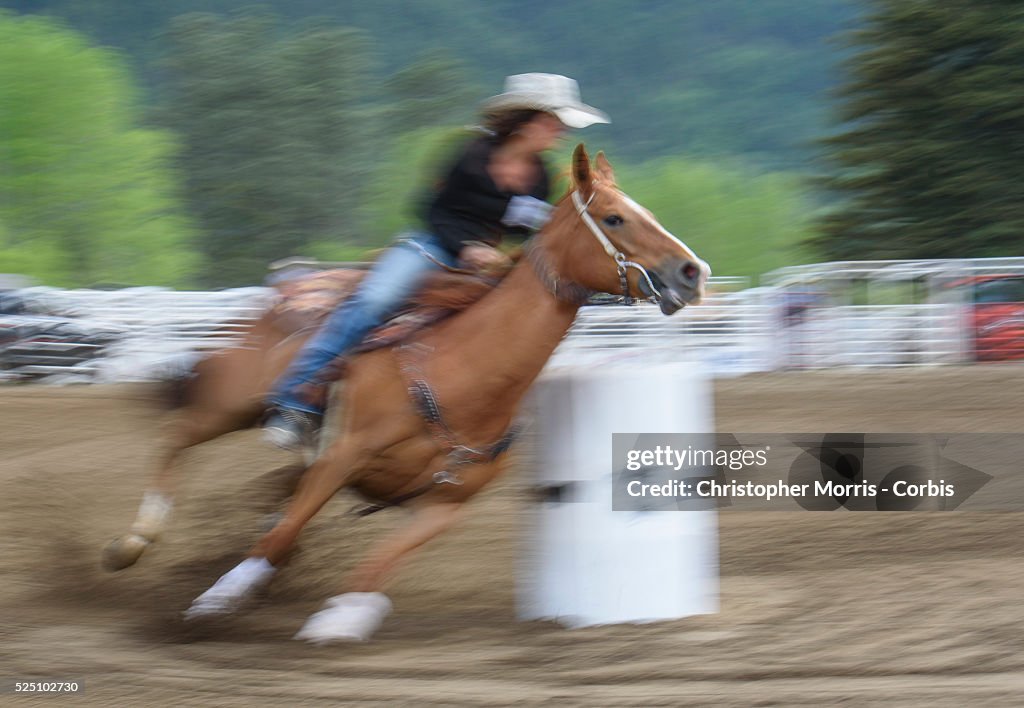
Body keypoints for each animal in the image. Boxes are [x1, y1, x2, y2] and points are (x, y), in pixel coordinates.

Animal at [108, 144, 708, 643]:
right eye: (614, 217)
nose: (693, 271)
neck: (463, 371)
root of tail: (280, 292)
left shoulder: (445, 503)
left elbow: (382, 561)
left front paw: (341, 618)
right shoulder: (342, 455)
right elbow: (279, 539)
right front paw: (217, 600)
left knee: (261, 486)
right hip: (232, 400)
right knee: (177, 434)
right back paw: (134, 541)